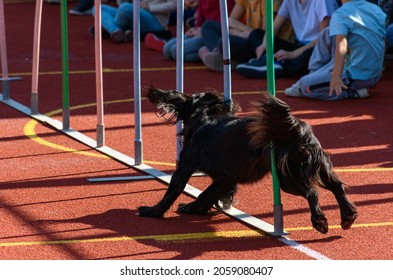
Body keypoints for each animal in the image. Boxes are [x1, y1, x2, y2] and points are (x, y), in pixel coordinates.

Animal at [139, 88, 356, 234]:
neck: (203, 120)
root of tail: (296, 129)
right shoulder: (225, 179)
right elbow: (206, 194)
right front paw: (193, 208)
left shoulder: (185, 167)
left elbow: (172, 192)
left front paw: (151, 211)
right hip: (318, 167)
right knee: (337, 186)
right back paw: (348, 216)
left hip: (288, 178)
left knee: (312, 192)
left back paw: (320, 222)